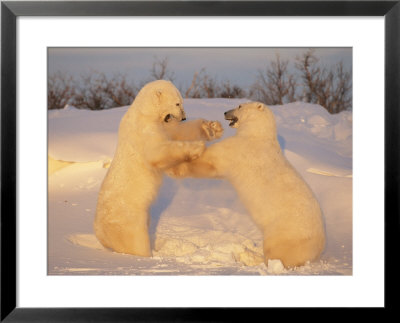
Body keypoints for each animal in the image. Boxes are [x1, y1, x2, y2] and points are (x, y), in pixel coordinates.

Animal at [95, 81, 223, 258]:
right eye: (177, 103)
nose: (184, 117)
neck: (144, 111)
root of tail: (99, 232)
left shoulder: (164, 125)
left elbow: (178, 132)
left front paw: (211, 128)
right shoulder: (143, 129)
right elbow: (157, 152)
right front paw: (196, 147)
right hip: (128, 220)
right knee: (135, 241)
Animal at [168, 102, 324, 268]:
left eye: (239, 106)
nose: (225, 112)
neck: (257, 134)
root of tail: (319, 248)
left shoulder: (239, 149)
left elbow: (210, 162)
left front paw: (174, 168)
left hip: (286, 233)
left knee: (276, 252)